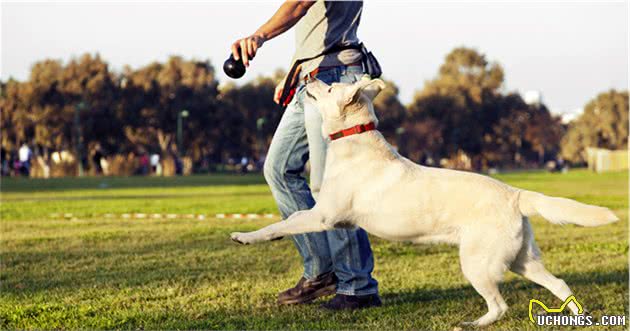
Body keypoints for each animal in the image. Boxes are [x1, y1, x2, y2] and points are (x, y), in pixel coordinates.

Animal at [231, 76, 616, 326]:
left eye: (328, 88)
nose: (308, 77)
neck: (354, 141)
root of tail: (516, 194)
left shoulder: (323, 216)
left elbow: (283, 223)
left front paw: (245, 236)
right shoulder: (330, 218)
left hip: (477, 263)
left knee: (500, 305)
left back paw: (473, 323)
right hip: (522, 260)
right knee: (559, 283)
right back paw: (578, 316)